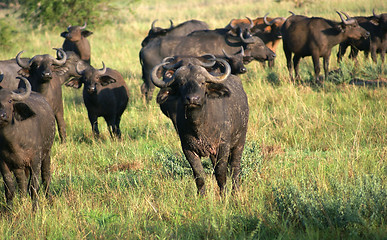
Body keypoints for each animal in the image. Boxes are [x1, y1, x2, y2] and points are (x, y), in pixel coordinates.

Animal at [0, 76, 55, 209]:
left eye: (10, 100)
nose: (1, 116)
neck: (14, 142)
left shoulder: (35, 160)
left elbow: (34, 186)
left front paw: (35, 209)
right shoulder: (3, 163)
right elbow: (10, 188)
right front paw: (8, 210)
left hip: (47, 154)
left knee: (46, 176)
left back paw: (49, 199)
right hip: (19, 167)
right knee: (22, 183)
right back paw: (22, 199)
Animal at [152, 57, 249, 195]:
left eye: (202, 82)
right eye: (181, 84)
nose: (192, 99)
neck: (199, 125)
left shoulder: (223, 145)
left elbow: (221, 173)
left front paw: (224, 195)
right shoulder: (188, 149)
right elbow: (199, 175)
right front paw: (201, 196)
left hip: (240, 141)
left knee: (235, 168)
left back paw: (235, 192)